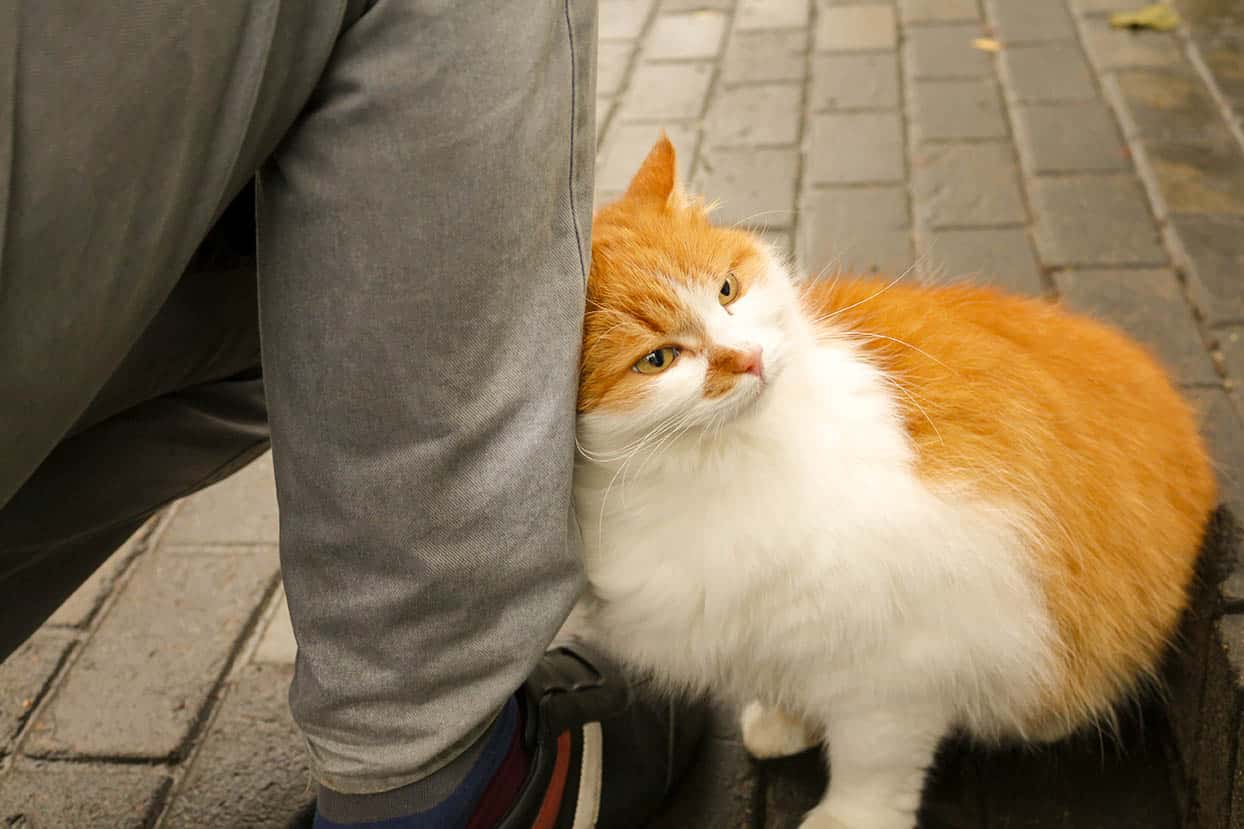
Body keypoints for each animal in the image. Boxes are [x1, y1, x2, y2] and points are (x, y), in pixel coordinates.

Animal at [574, 136, 1214, 826]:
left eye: (726, 290)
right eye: (658, 359)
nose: (749, 358)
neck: (712, 469)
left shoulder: (899, 668)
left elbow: (871, 766)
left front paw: (846, 818)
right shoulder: (769, 629)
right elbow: (788, 678)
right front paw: (786, 720)